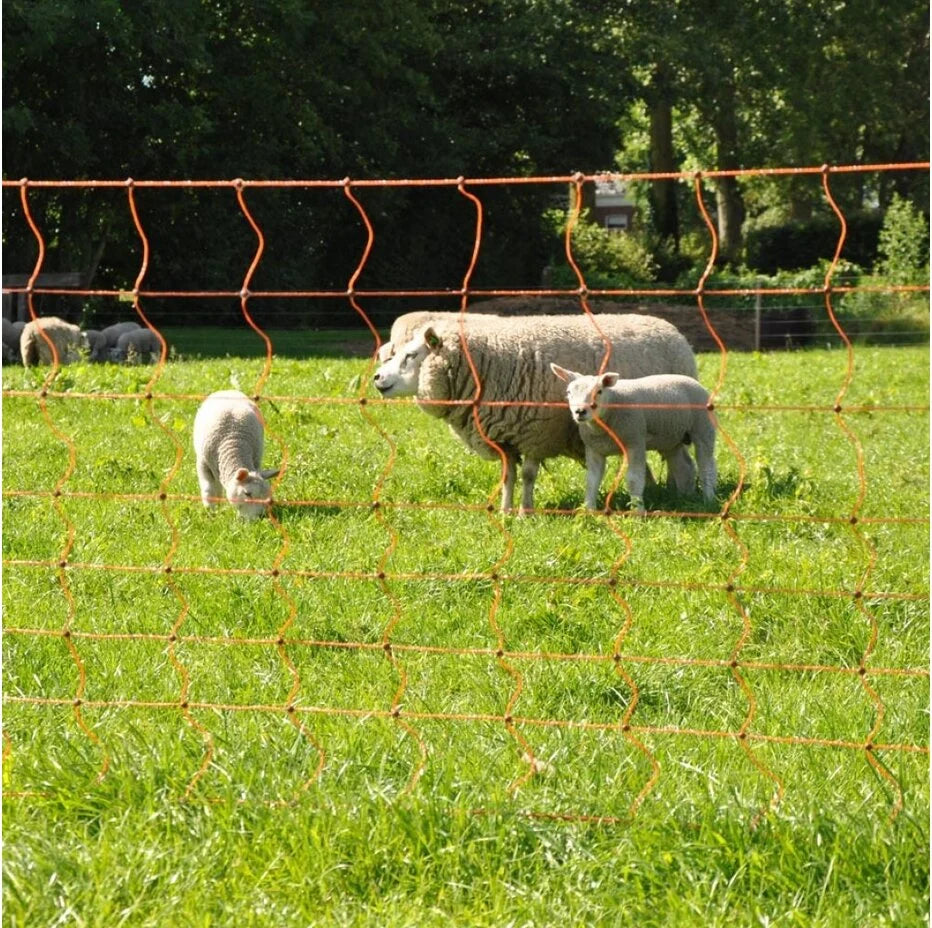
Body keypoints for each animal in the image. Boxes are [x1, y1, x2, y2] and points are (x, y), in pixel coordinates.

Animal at [192, 390, 280, 520]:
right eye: (247, 493)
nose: (255, 520)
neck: (234, 443)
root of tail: (228, 390)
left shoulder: (256, 462)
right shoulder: (204, 464)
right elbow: (209, 488)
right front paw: (211, 510)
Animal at [371, 313, 697, 514]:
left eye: (411, 355)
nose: (377, 377)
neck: (483, 367)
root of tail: (672, 329)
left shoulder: (536, 433)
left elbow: (528, 475)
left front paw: (525, 511)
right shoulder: (503, 437)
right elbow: (508, 476)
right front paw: (505, 510)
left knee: (682, 461)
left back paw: (680, 495)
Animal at [551, 364, 717, 513]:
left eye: (599, 391)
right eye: (569, 392)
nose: (580, 411)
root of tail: (692, 380)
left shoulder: (634, 442)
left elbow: (633, 479)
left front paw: (637, 512)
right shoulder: (594, 449)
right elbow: (592, 481)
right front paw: (589, 512)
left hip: (703, 428)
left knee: (706, 466)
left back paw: (708, 500)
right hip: (671, 439)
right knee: (683, 467)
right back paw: (684, 498)